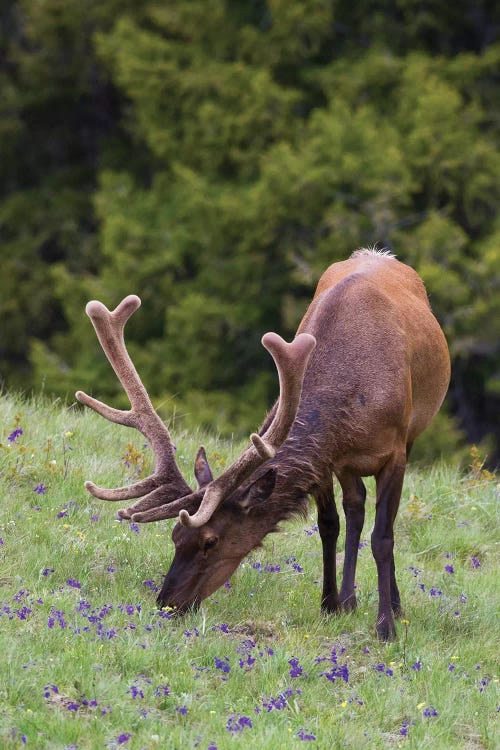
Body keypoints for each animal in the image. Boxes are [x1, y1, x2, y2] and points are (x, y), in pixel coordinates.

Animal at [77, 251, 450, 640]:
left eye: (211, 541)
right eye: (175, 535)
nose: (167, 604)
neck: (353, 400)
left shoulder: (396, 451)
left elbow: (383, 539)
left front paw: (386, 627)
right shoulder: (326, 459)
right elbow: (328, 525)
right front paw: (330, 605)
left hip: (410, 433)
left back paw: (392, 605)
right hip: (347, 468)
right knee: (355, 508)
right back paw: (349, 600)